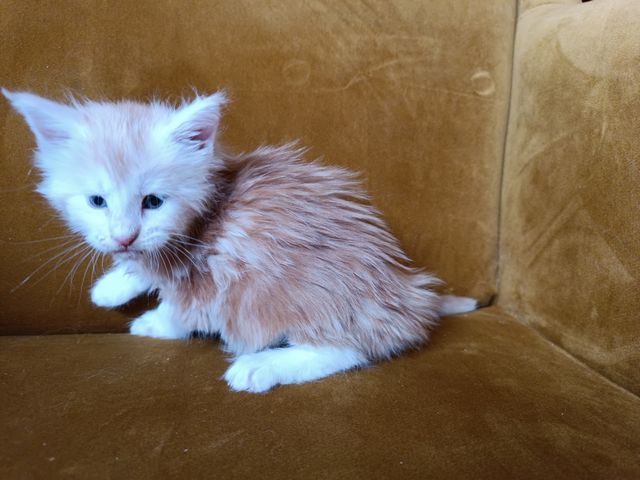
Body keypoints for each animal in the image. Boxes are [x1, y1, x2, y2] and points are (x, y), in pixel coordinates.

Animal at [3, 89, 477, 392]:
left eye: (153, 201)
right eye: (96, 201)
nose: (123, 236)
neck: (205, 210)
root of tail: (406, 288)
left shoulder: (208, 277)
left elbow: (182, 308)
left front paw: (155, 321)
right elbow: (145, 265)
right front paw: (114, 283)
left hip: (299, 293)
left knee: (353, 348)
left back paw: (261, 366)